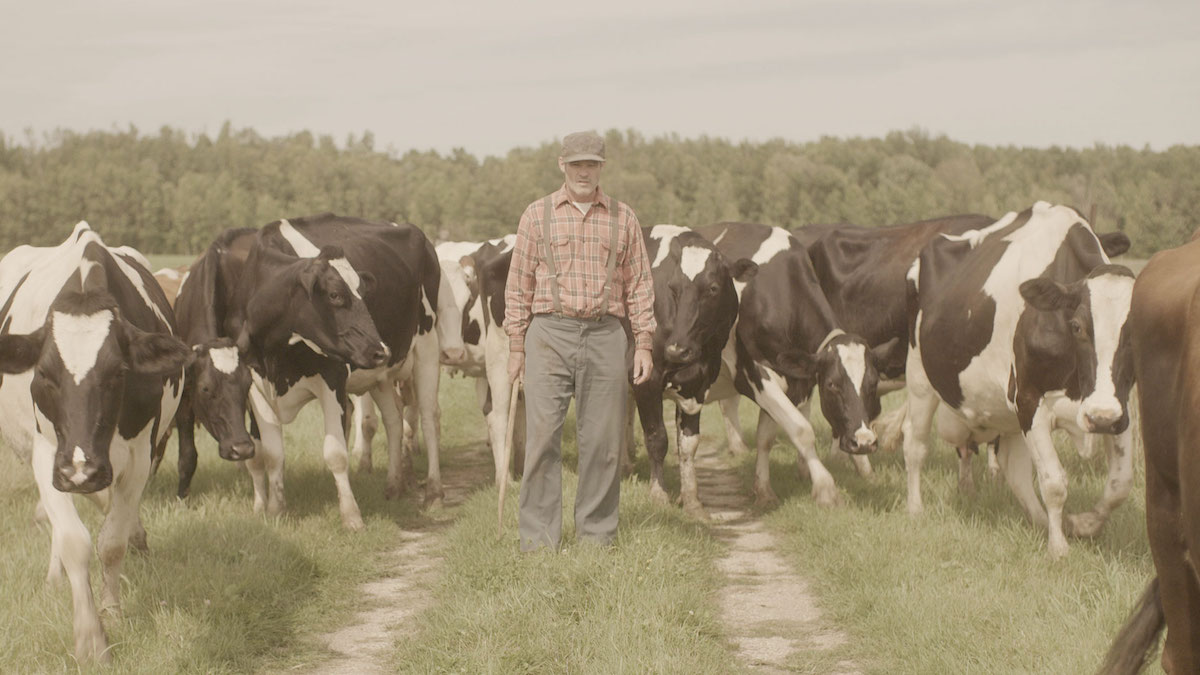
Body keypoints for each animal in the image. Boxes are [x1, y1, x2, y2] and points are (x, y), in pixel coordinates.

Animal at [0, 219, 192, 658]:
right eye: (43, 375)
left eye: (118, 373)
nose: (81, 470)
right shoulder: (48, 456)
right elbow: (74, 540)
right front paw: (89, 633)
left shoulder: (140, 455)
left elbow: (112, 542)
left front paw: (112, 611)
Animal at [633, 225, 753, 514]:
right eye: (673, 288)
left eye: (712, 288)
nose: (677, 350)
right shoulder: (647, 380)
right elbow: (657, 437)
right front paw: (658, 494)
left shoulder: (700, 383)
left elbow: (688, 444)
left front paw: (691, 500)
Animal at [691, 220, 897, 504]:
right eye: (832, 384)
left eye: (873, 383)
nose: (864, 441)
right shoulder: (754, 373)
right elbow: (801, 430)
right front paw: (825, 488)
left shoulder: (799, 380)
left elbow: (766, 437)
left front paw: (763, 489)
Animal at [873, 200, 1132, 557]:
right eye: (1077, 326)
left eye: (1137, 328)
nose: (1101, 418)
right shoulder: (1030, 401)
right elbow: (1054, 482)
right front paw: (1059, 548)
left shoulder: (1118, 406)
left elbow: (1120, 483)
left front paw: (1084, 524)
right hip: (920, 378)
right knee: (915, 443)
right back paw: (915, 508)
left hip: (1005, 411)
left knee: (1014, 469)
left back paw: (1039, 520)